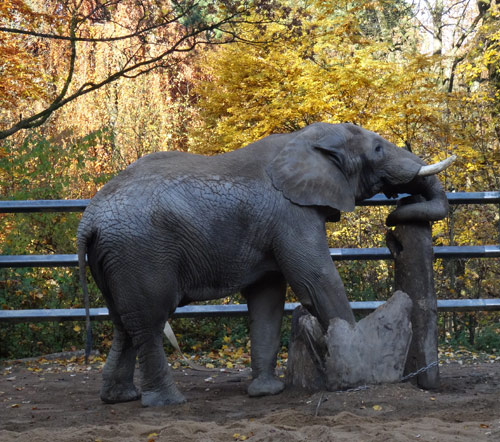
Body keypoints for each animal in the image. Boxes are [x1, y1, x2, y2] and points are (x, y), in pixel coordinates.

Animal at [77, 122, 454, 406]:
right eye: (376, 149)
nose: (397, 211)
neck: (304, 138)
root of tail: (88, 220)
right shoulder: (291, 213)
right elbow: (315, 279)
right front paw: (358, 376)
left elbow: (268, 299)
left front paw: (266, 393)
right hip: (140, 254)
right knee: (150, 322)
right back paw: (169, 402)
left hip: (115, 257)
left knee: (124, 322)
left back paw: (119, 398)